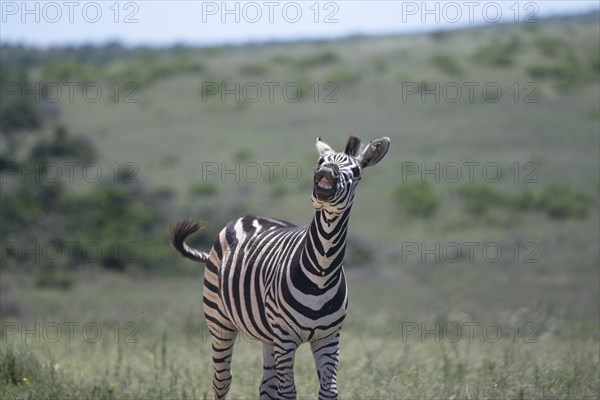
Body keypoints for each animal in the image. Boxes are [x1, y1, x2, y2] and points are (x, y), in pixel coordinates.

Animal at [169, 136, 390, 398]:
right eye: (320, 162)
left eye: (356, 172)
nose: (326, 173)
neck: (321, 273)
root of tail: (249, 217)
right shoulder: (285, 338)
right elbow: (288, 392)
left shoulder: (328, 338)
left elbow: (328, 391)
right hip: (219, 319)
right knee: (222, 380)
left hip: (268, 334)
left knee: (266, 386)